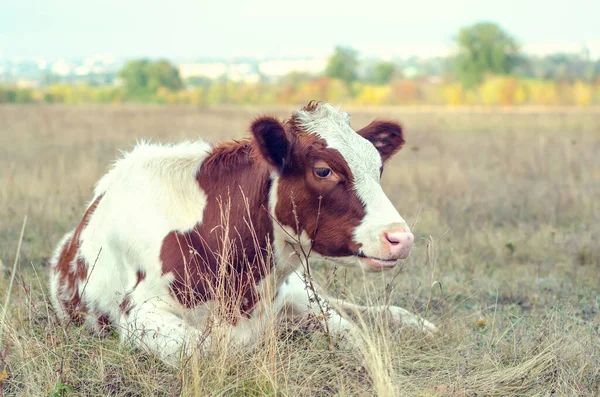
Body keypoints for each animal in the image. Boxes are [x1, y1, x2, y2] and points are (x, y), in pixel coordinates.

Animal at [49, 100, 436, 364]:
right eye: (323, 170)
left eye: (379, 167)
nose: (400, 238)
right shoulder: (140, 316)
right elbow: (202, 350)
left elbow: (352, 334)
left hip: (303, 290)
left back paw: (415, 322)